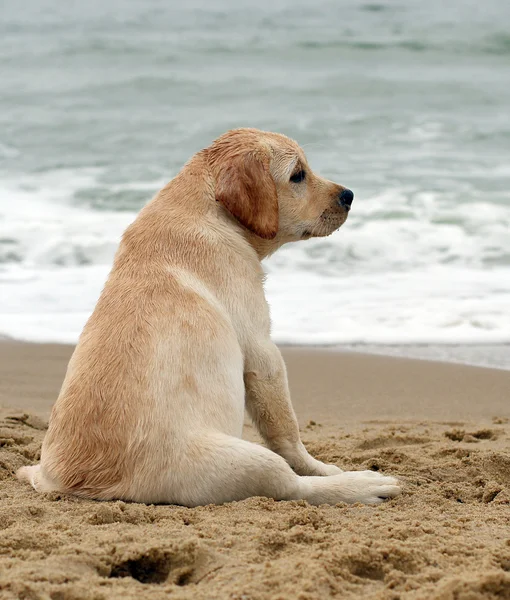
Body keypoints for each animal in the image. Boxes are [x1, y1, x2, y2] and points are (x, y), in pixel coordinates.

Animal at [16, 127, 402, 506]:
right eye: (297, 175)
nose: (349, 195)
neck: (208, 210)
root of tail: (76, 484)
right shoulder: (262, 351)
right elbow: (288, 434)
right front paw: (320, 467)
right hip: (248, 460)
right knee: (292, 485)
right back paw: (363, 485)